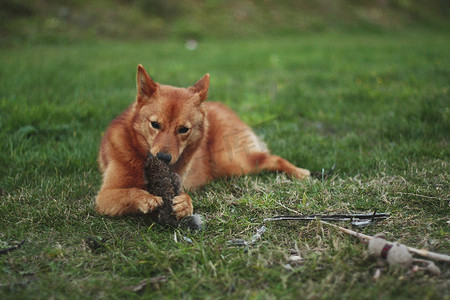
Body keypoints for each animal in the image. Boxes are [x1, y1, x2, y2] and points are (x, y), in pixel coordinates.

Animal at [95, 65, 312, 218]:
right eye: (155, 124)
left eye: (183, 129)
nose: (163, 158)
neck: (141, 155)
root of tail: (225, 108)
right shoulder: (104, 198)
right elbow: (131, 192)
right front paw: (147, 199)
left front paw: (185, 204)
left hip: (234, 163)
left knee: (273, 158)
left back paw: (300, 173)